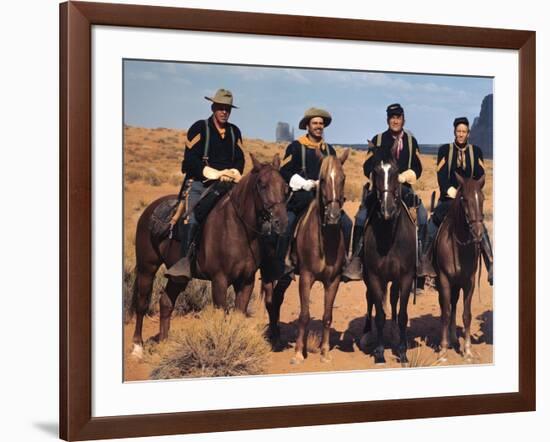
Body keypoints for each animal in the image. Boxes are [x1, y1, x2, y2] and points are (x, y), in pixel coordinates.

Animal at [362, 148, 418, 362]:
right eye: (375, 171)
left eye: (395, 171)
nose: (387, 210)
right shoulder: (374, 276)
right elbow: (379, 315)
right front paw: (379, 352)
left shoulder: (406, 276)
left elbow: (402, 314)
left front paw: (402, 350)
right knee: (370, 299)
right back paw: (367, 332)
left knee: (394, 299)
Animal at [436, 173, 488, 362]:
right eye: (464, 199)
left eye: (482, 198)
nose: (478, 233)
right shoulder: (444, 280)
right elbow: (445, 313)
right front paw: (443, 350)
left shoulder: (469, 282)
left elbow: (466, 315)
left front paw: (467, 350)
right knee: (447, 307)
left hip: (457, 285)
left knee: (454, 305)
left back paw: (453, 338)